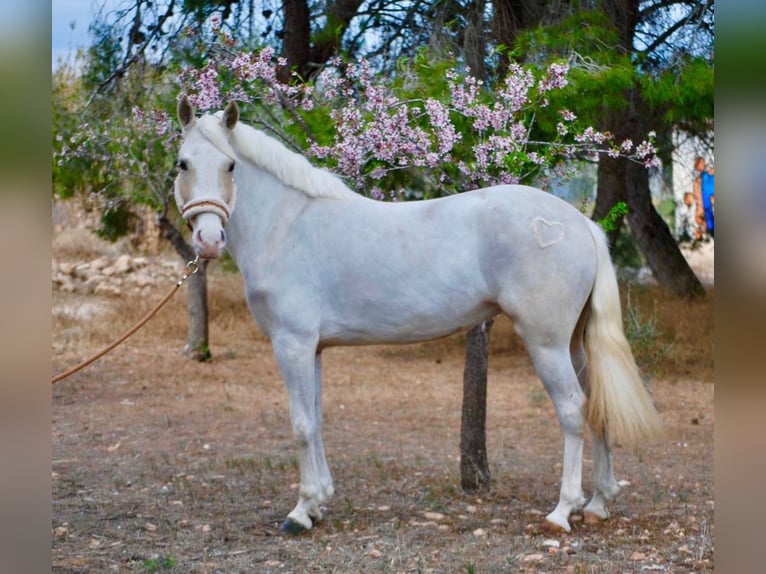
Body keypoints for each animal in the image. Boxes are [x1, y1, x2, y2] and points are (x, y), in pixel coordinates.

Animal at [172, 98, 660, 536]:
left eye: (231, 166)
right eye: (182, 164)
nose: (209, 240)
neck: (288, 225)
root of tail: (578, 224)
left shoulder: (291, 344)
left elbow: (301, 425)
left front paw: (301, 511)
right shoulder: (313, 348)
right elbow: (317, 417)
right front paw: (319, 502)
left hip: (547, 343)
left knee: (573, 409)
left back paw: (563, 511)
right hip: (575, 343)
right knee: (597, 404)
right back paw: (598, 504)